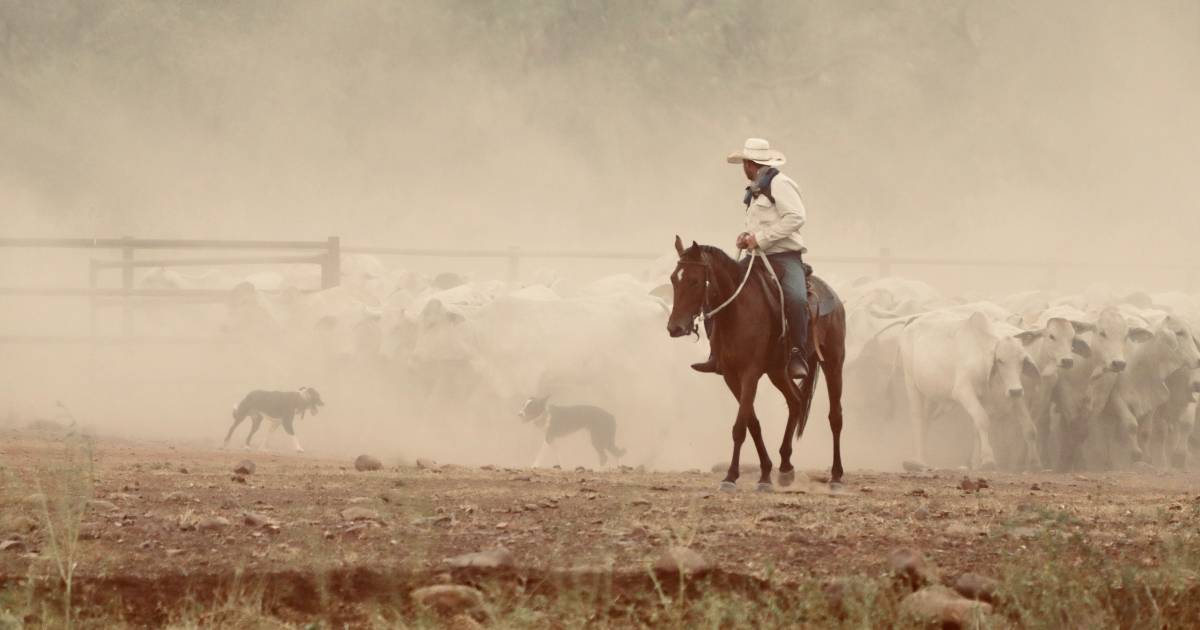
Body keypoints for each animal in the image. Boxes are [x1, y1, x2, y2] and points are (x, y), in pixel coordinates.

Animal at [662, 235, 849, 492]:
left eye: (695, 280)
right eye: (674, 278)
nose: (675, 328)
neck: (737, 311)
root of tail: (834, 298)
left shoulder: (750, 373)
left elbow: (740, 426)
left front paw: (731, 477)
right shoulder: (731, 376)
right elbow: (752, 423)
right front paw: (765, 474)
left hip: (833, 363)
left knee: (835, 417)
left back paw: (836, 476)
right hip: (778, 371)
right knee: (796, 402)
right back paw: (786, 468)